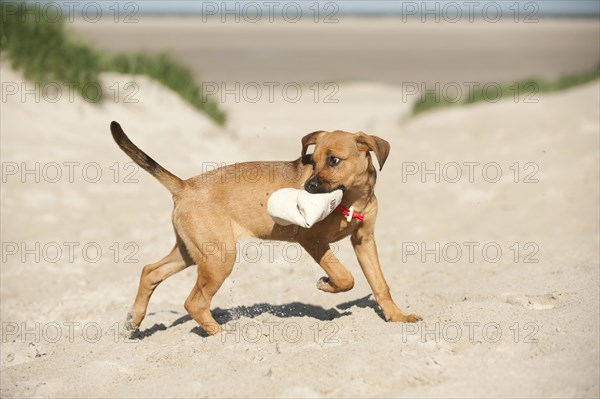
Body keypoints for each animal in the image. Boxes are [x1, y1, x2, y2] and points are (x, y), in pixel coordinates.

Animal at [110, 121, 420, 334]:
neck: (352, 198)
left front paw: (397, 317)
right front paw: (327, 284)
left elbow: (380, 284)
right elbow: (345, 277)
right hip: (219, 258)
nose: (308, 187)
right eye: (312, 161)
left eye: (334, 160)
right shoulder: (312, 240)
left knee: (150, 271)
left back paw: (134, 321)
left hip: (195, 251)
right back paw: (222, 336)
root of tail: (185, 186)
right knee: (194, 302)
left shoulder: (364, 241)